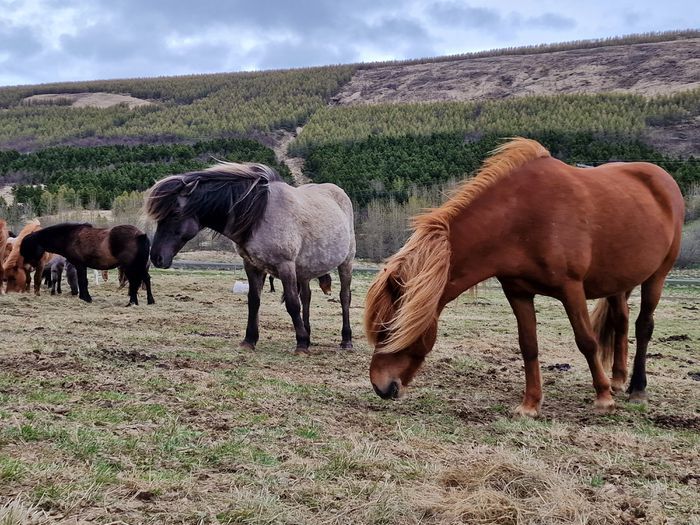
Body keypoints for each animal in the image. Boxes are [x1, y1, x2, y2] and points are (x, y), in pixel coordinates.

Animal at [20, 222, 154, 304]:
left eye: (27, 247)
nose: (27, 267)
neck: (70, 236)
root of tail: (140, 234)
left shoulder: (80, 265)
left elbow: (82, 281)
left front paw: (86, 298)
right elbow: (83, 281)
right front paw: (84, 297)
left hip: (131, 266)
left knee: (135, 281)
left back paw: (133, 301)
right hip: (139, 266)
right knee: (145, 279)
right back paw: (148, 300)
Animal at [147, 160, 356, 352]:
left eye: (175, 213)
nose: (156, 257)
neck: (259, 215)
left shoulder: (285, 266)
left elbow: (292, 304)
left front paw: (301, 343)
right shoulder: (252, 265)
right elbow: (254, 301)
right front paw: (250, 340)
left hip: (346, 262)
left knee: (344, 297)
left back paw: (346, 340)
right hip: (304, 270)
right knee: (307, 297)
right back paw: (310, 334)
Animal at [366, 137, 684, 416]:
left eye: (388, 330)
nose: (381, 387)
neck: (520, 219)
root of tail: (663, 179)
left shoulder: (571, 289)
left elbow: (586, 340)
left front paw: (603, 398)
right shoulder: (517, 292)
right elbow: (528, 345)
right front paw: (530, 405)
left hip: (657, 275)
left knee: (643, 326)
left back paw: (637, 389)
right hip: (617, 282)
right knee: (621, 321)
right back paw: (618, 380)